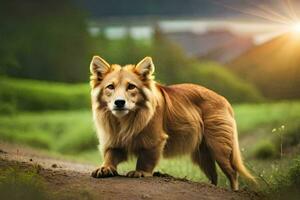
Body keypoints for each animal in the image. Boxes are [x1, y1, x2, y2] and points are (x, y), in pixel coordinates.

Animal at [89, 55, 255, 190]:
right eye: (110, 87)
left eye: (131, 86)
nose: (119, 102)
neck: (125, 119)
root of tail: (224, 99)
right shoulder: (115, 140)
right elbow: (110, 155)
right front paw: (105, 168)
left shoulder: (154, 141)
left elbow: (145, 159)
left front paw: (140, 172)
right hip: (203, 154)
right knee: (214, 175)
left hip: (219, 147)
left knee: (232, 173)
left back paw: (233, 190)